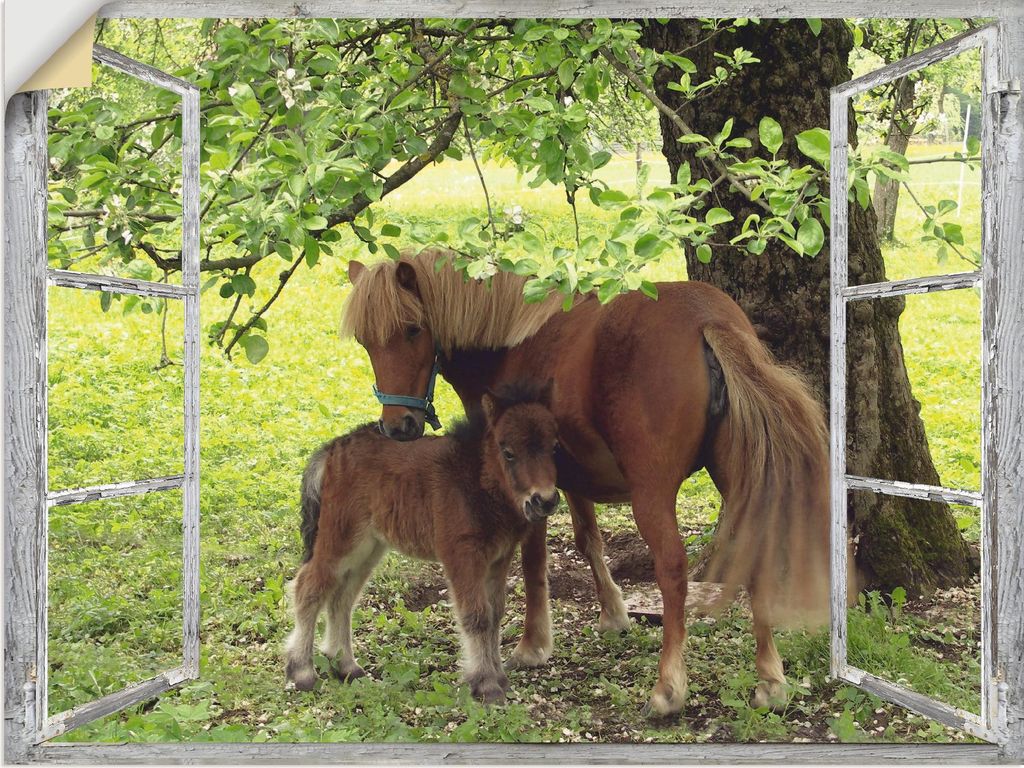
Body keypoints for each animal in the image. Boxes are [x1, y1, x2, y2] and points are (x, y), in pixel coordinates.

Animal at [284, 379, 561, 704]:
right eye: (508, 452)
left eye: (554, 447)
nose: (544, 500)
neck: (475, 478)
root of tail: (333, 448)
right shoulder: (461, 555)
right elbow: (477, 616)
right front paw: (485, 685)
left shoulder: (498, 558)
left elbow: (495, 615)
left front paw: (499, 679)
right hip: (340, 539)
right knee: (310, 587)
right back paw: (301, 671)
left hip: (369, 547)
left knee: (342, 597)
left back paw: (346, 667)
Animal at [340, 247, 832, 716]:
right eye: (365, 341)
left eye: (412, 330)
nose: (397, 426)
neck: (511, 342)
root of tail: (706, 319)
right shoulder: (570, 479)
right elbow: (587, 539)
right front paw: (613, 613)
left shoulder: (527, 488)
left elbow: (534, 562)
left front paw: (533, 644)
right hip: (738, 478)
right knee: (755, 551)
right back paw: (770, 680)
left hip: (652, 494)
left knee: (672, 569)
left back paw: (668, 688)